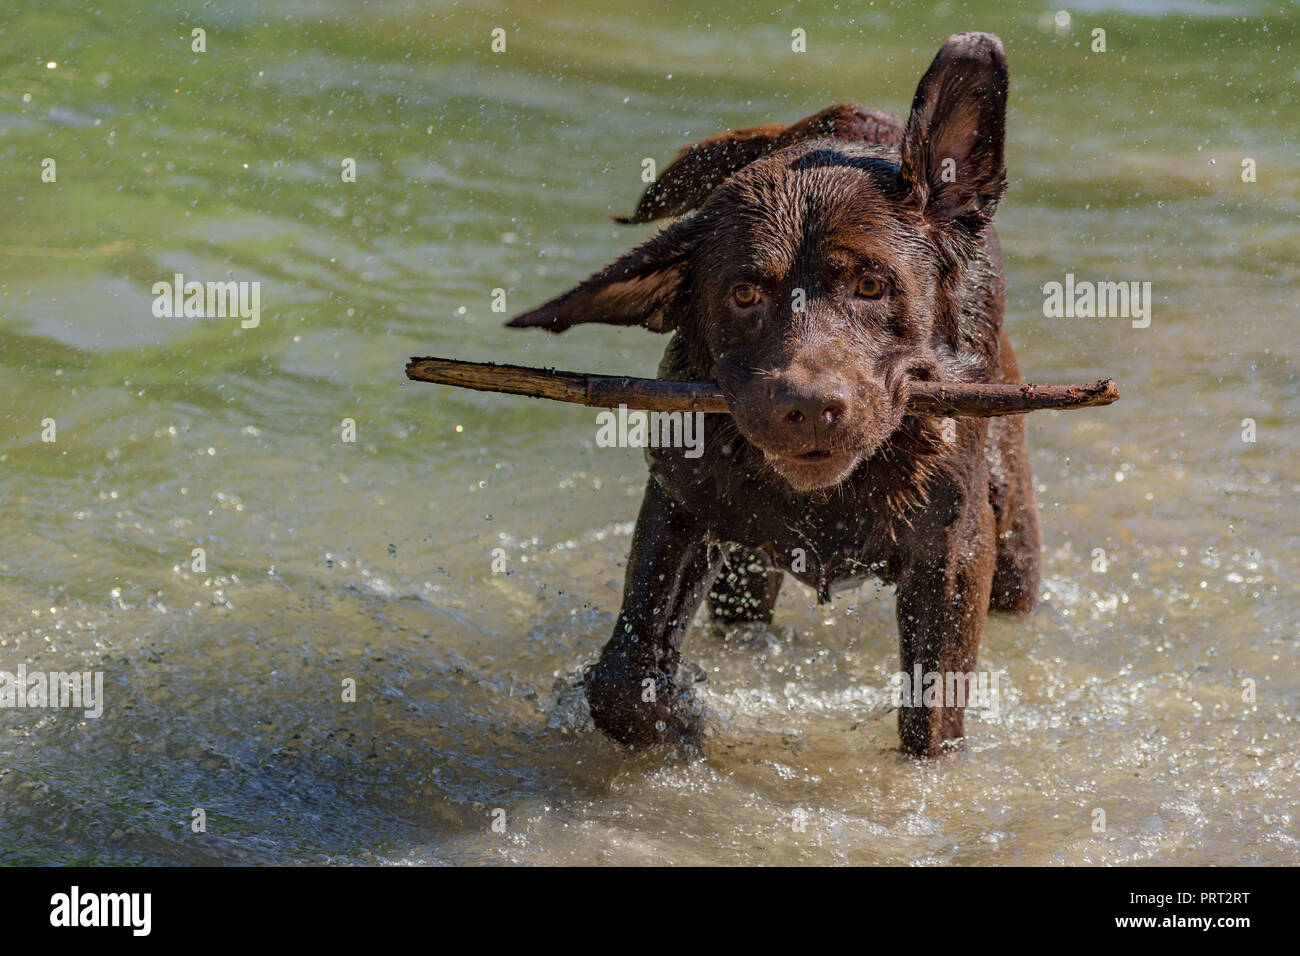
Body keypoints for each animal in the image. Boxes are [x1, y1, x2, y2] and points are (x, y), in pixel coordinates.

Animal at [504, 33, 1034, 759]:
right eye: (745, 294)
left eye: (872, 286)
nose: (808, 408)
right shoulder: (683, 502)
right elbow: (622, 677)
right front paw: (681, 720)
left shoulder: (953, 551)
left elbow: (932, 719)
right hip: (747, 569)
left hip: (1013, 534)